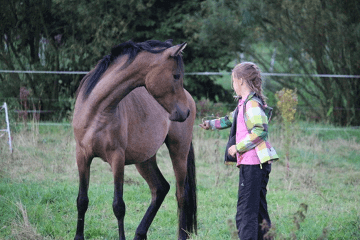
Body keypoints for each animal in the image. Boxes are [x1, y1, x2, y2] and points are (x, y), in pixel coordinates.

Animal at [72, 39, 197, 240]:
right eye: (176, 75)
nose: (184, 112)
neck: (97, 111)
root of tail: (190, 98)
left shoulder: (117, 158)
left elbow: (118, 206)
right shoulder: (82, 155)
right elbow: (82, 200)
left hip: (179, 151)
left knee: (181, 195)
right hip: (145, 159)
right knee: (160, 188)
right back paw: (140, 233)